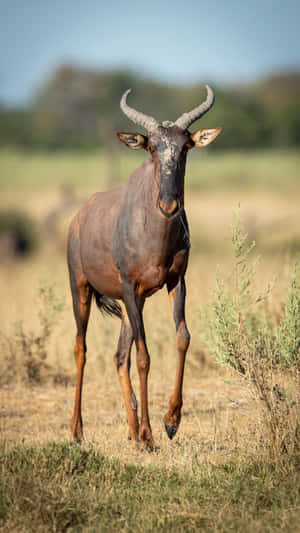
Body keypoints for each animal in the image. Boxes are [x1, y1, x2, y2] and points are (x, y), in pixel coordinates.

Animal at [68, 85, 223, 446]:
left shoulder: (176, 282)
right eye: (152, 146)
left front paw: (170, 422)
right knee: (82, 349)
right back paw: (78, 431)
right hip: (82, 290)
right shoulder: (130, 286)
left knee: (118, 356)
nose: (168, 205)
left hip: (129, 304)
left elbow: (182, 338)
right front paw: (152, 434)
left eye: (185, 146)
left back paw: (132, 432)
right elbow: (144, 356)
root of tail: (79, 216)